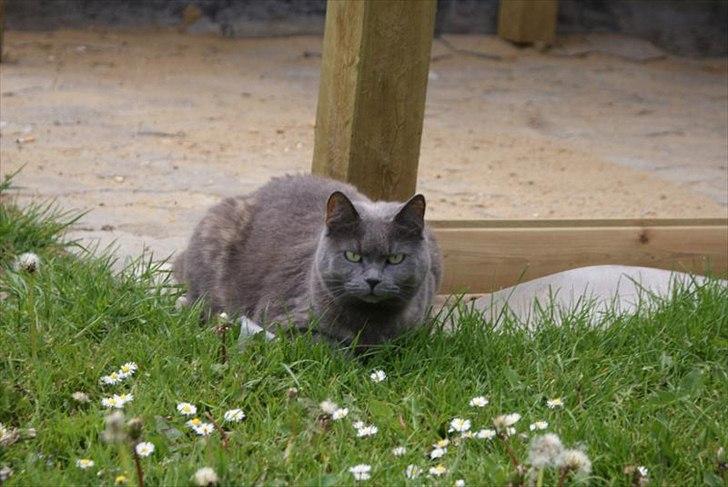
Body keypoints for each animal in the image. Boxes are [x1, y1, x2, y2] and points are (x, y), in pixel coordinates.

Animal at [173, 175, 440, 346]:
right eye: (352, 255)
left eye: (395, 258)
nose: (373, 280)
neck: (369, 322)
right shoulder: (286, 321)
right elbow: (331, 346)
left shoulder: (412, 334)